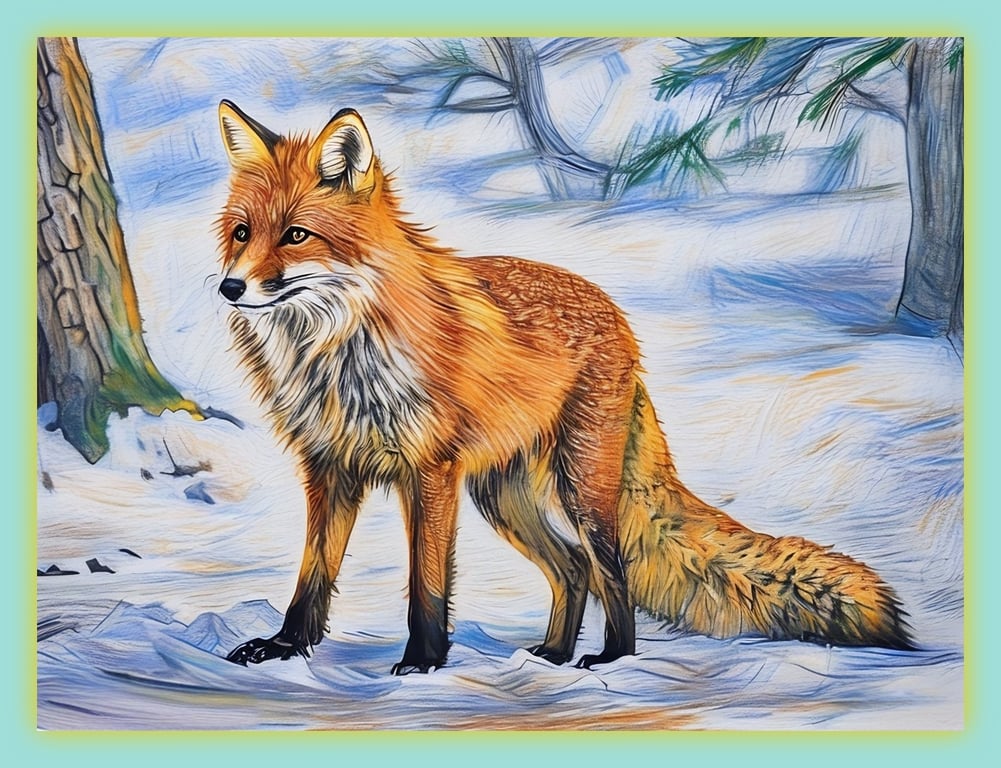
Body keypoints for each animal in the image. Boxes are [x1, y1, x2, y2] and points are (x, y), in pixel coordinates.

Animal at [215, 100, 913, 674]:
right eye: (243, 233)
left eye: (297, 235)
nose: (230, 287)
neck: (334, 354)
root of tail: (620, 320)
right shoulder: (329, 466)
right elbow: (312, 576)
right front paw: (286, 647)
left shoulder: (430, 472)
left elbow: (427, 586)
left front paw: (422, 662)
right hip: (502, 495)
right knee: (573, 568)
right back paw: (552, 653)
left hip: (578, 486)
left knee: (610, 569)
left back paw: (610, 658)